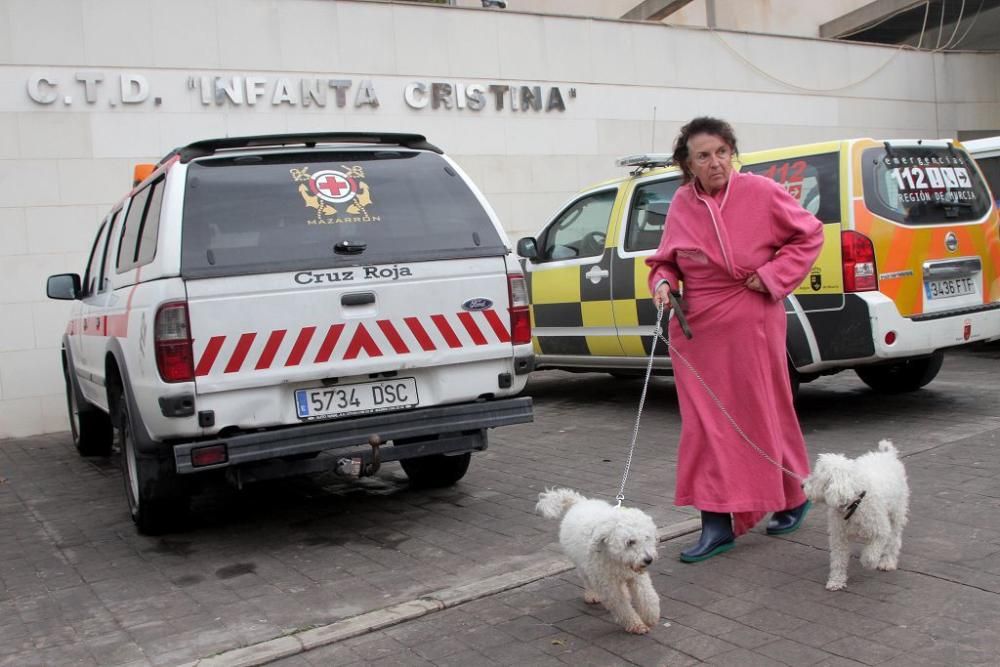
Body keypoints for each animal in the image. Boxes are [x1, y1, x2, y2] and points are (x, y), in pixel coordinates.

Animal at [536, 488, 660, 636]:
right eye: (630, 542)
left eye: (647, 537)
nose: (648, 560)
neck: (615, 558)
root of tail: (580, 502)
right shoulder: (608, 585)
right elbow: (621, 605)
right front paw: (636, 624)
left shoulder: (635, 576)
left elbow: (647, 595)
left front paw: (650, 617)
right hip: (583, 566)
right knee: (587, 581)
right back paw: (592, 595)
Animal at [800, 440, 912, 592]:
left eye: (816, 477)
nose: (802, 485)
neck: (855, 503)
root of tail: (888, 455)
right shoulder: (839, 536)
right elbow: (838, 560)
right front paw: (836, 581)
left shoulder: (881, 531)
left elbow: (870, 556)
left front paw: (868, 562)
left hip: (896, 513)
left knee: (894, 540)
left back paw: (887, 561)